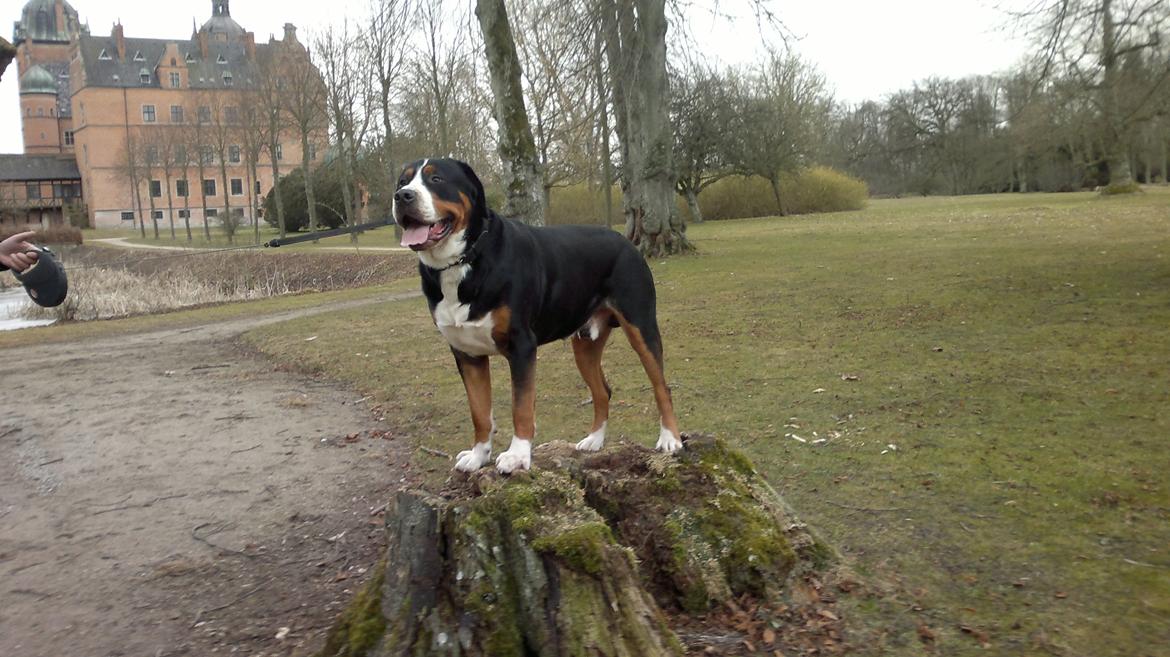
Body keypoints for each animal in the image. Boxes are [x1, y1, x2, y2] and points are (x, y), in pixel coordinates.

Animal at [395, 157, 683, 469]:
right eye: (402, 181)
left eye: (436, 179)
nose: (402, 196)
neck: (463, 262)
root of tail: (626, 241)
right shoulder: (467, 354)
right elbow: (480, 412)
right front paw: (478, 456)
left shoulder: (521, 345)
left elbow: (521, 406)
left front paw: (517, 456)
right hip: (585, 344)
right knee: (602, 391)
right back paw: (594, 440)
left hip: (641, 326)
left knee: (661, 386)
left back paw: (670, 439)